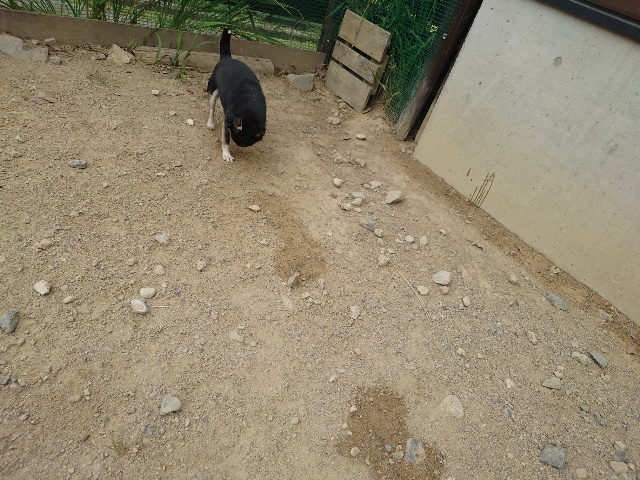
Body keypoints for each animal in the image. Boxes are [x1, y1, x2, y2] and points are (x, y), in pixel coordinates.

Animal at [207, 28, 266, 162]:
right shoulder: (227, 122)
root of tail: (227, 58)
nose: (238, 144)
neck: (250, 106)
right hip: (213, 92)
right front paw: (226, 154)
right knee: (212, 109)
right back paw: (210, 123)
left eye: (245, 144)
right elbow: (225, 139)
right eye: (234, 138)